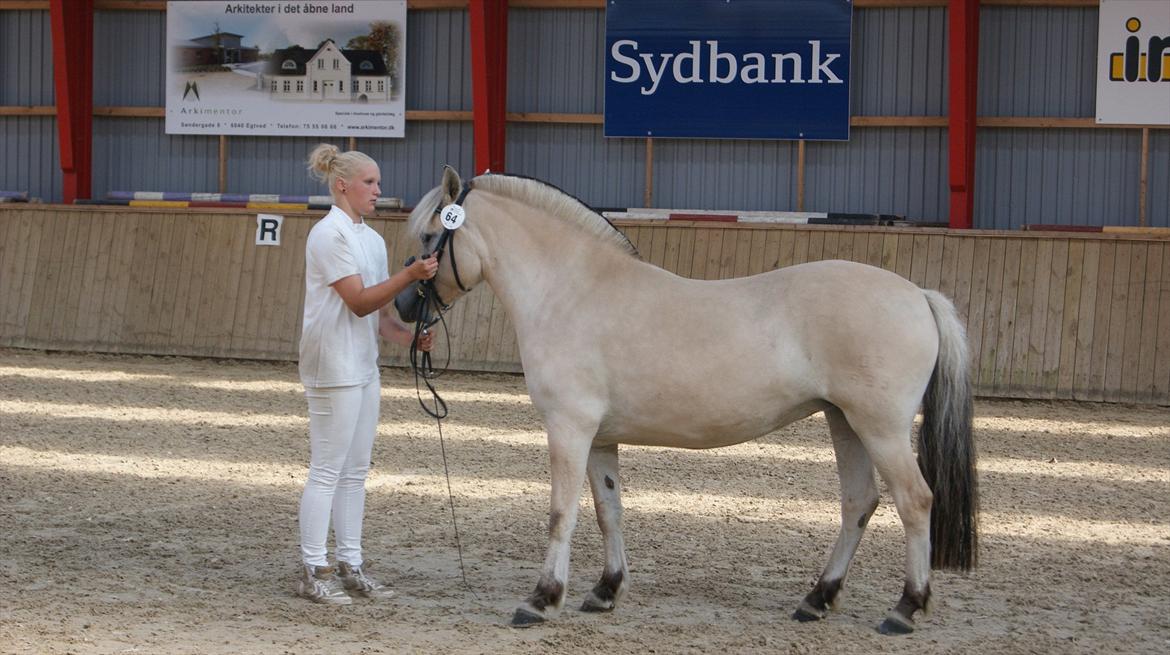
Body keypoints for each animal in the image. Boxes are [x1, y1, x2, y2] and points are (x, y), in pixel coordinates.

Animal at [395, 168, 978, 636]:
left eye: (428, 235)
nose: (402, 305)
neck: (572, 292)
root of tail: (918, 295)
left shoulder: (568, 429)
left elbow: (562, 513)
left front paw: (541, 600)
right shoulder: (599, 438)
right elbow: (608, 511)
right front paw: (604, 591)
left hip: (880, 427)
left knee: (915, 501)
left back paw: (905, 608)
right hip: (845, 423)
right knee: (859, 503)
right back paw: (817, 600)